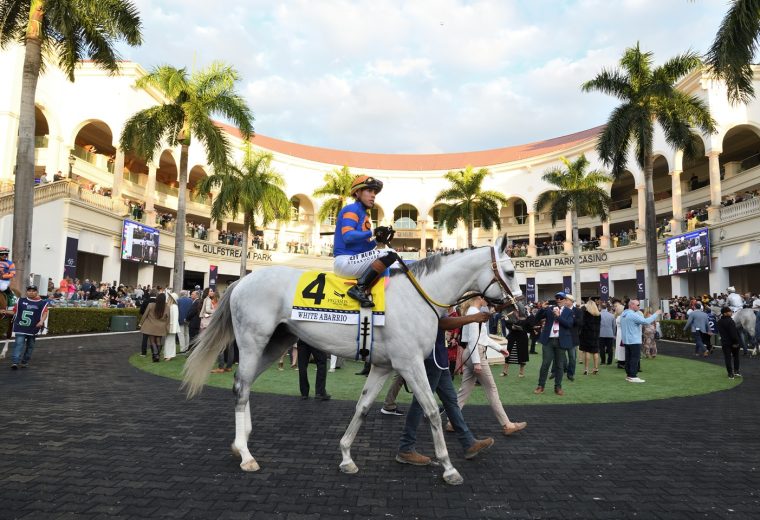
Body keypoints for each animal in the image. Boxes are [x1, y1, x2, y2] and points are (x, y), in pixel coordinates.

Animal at [183, 238, 524, 486]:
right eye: (510, 273)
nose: (517, 309)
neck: (419, 296)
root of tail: (241, 281)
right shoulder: (410, 363)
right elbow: (431, 411)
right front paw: (449, 467)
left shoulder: (384, 365)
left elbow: (362, 407)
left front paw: (347, 457)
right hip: (253, 340)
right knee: (241, 387)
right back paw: (245, 454)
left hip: (276, 342)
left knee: (245, 383)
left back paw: (242, 439)